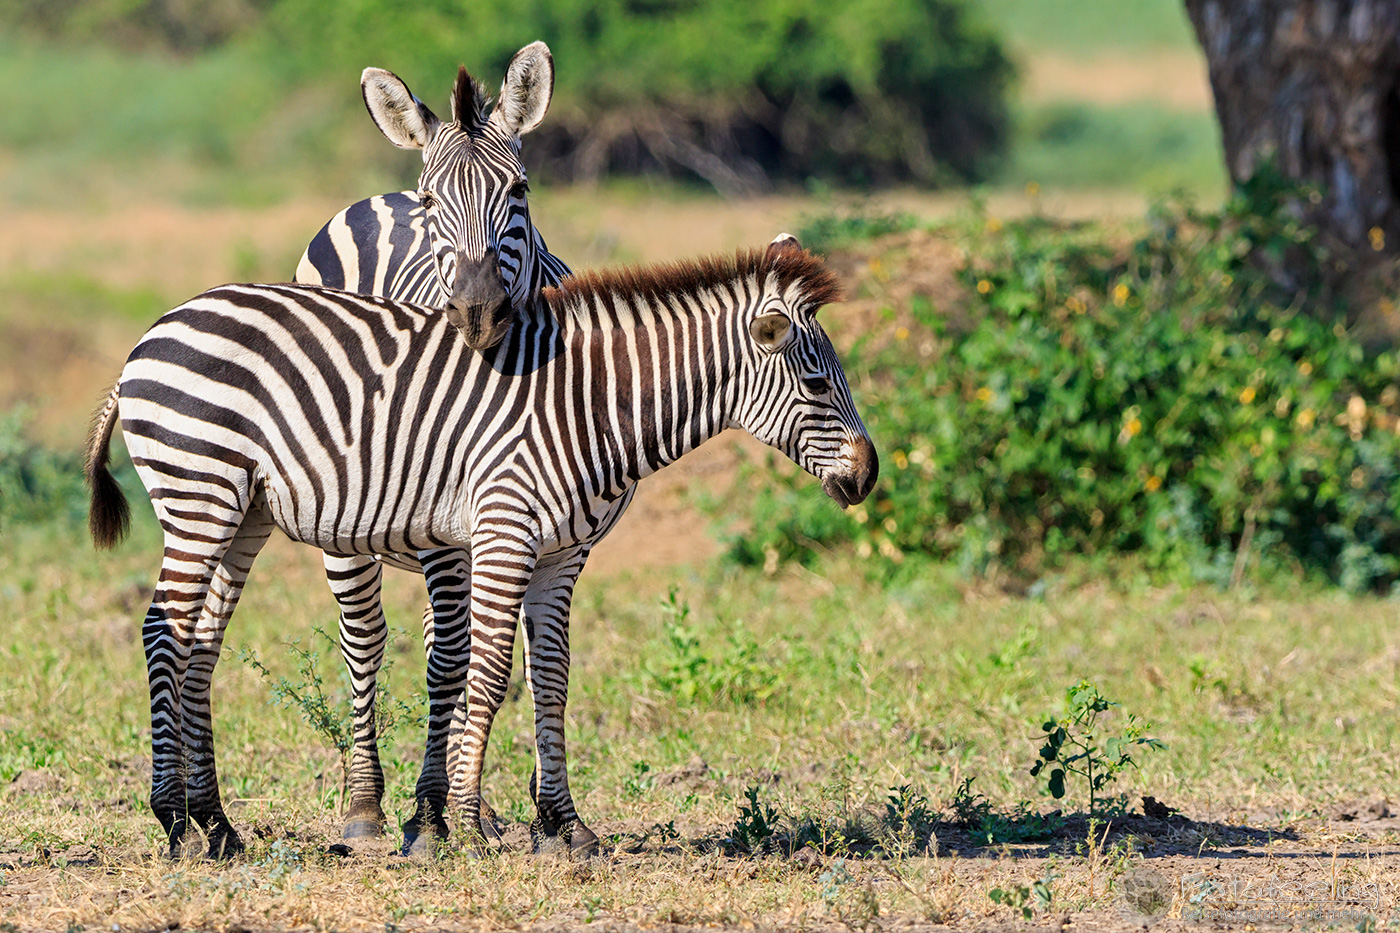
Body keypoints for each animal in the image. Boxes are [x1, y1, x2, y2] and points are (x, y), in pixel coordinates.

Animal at [86, 233, 878, 859]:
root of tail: (152, 334)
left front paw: (566, 825)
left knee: (200, 645)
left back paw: (217, 825)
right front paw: (464, 822)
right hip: (200, 491)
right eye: (816, 384)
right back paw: (174, 821)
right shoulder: (503, 530)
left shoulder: (562, 553)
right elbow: (490, 673)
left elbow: (551, 676)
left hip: (243, 512)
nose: (869, 475)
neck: (587, 405)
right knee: (162, 631)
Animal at [297, 42, 572, 844]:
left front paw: (527, 810)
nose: (477, 314)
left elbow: (519, 661)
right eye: (431, 203)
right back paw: (367, 807)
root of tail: (375, 199)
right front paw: (432, 811)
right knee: (370, 640)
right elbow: (453, 661)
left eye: (520, 190)